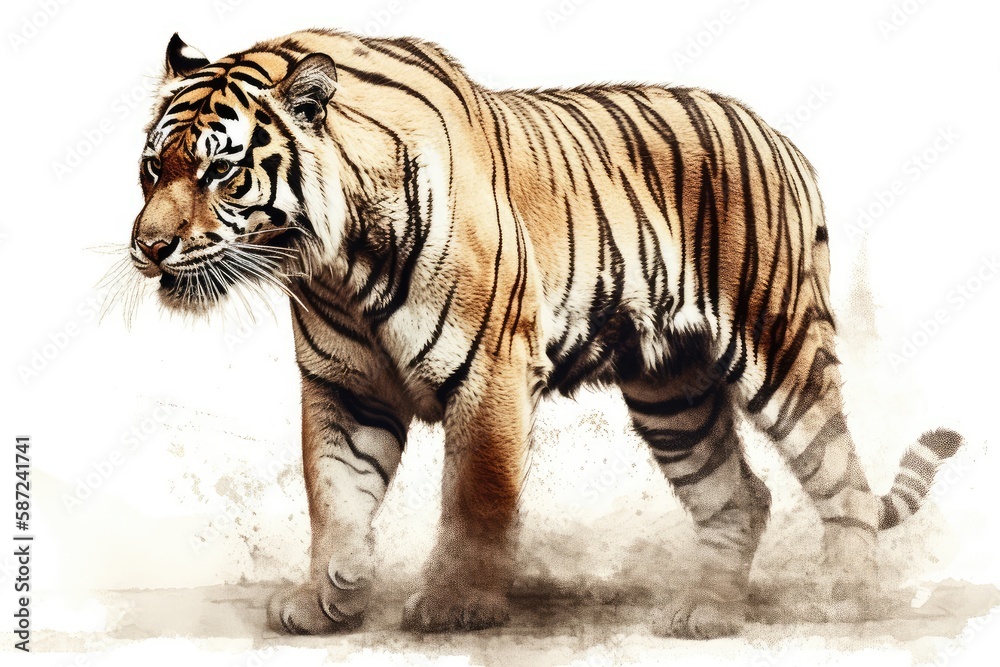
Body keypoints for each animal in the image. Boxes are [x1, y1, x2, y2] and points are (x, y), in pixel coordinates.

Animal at [127, 29, 962, 638]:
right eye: (152, 170)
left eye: (219, 172)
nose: (148, 247)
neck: (332, 261)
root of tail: (780, 138)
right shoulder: (345, 384)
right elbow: (335, 492)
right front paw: (330, 591)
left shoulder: (490, 367)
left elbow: (475, 494)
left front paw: (455, 604)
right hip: (673, 391)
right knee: (741, 494)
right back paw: (707, 613)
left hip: (779, 344)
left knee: (841, 472)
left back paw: (844, 597)